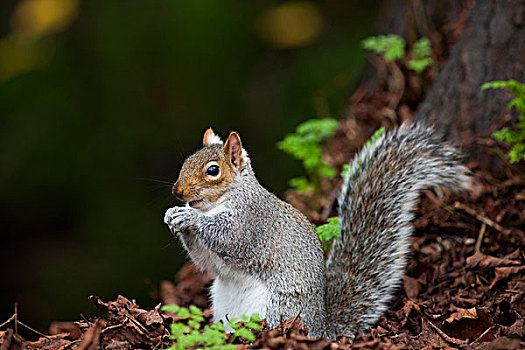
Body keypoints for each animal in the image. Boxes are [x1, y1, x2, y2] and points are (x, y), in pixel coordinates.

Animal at [162, 123, 468, 340]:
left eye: (213, 170)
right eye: (186, 161)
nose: (178, 192)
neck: (217, 203)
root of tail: (321, 327)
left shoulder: (251, 220)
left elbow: (229, 237)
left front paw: (189, 217)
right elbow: (207, 260)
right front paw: (173, 217)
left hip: (278, 309)